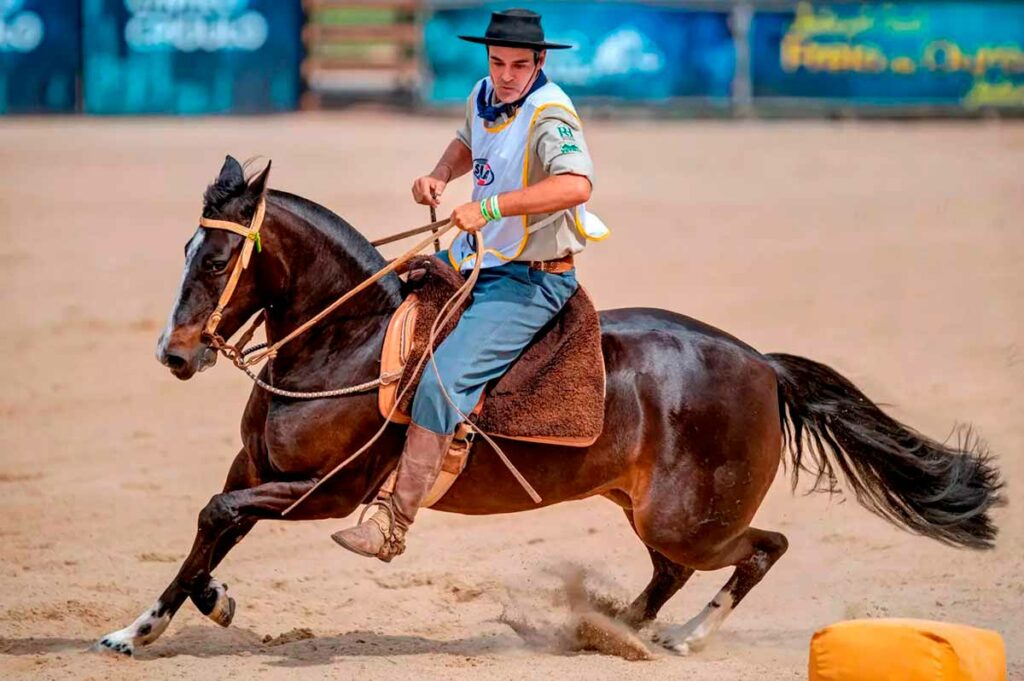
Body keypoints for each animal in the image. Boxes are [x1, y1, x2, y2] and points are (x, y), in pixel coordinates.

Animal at [92, 156, 1003, 655]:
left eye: (216, 260)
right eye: (186, 249)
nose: (175, 354)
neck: (344, 339)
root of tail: (763, 365)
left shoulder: (330, 493)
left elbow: (218, 517)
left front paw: (190, 612)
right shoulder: (256, 467)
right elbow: (210, 530)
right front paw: (148, 625)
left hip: (690, 517)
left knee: (758, 549)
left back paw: (679, 635)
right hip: (650, 510)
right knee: (670, 572)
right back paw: (616, 627)